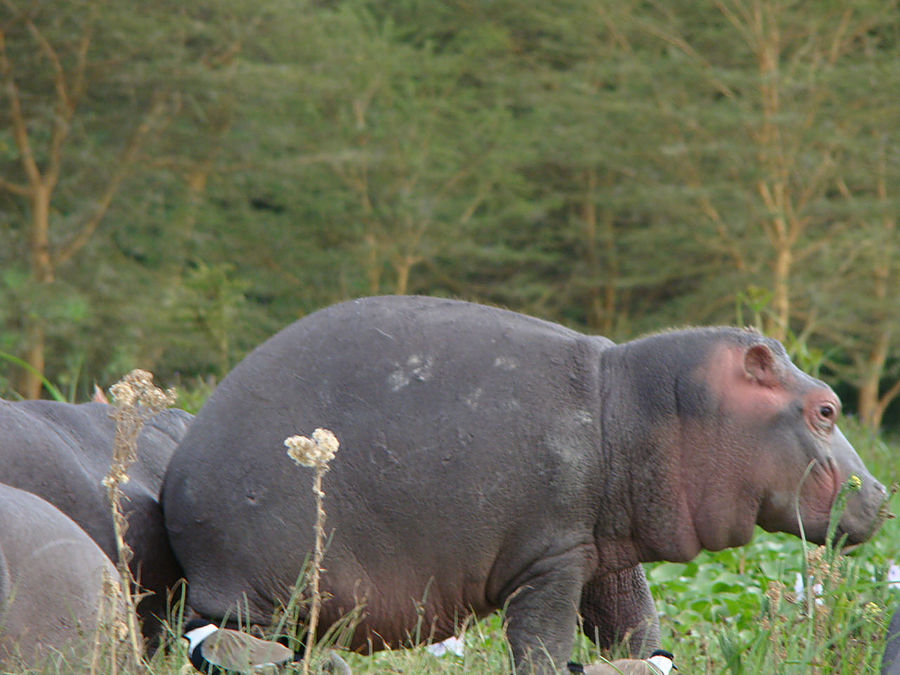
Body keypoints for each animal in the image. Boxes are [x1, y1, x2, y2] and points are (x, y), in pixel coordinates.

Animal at [162, 298, 884, 675]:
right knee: (236, 642)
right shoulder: (550, 558)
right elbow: (543, 643)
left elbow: (634, 623)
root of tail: (176, 474)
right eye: (826, 408)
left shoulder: (600, 550)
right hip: (264, 591)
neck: (643, 406)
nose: (881, 494)